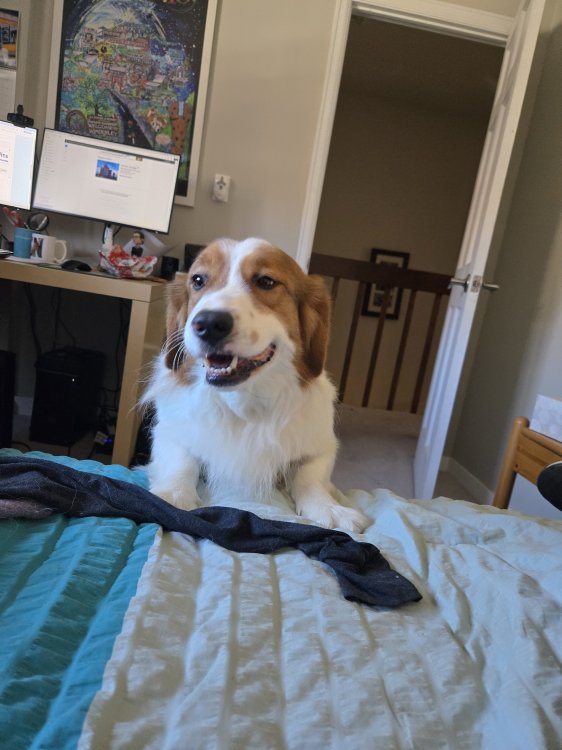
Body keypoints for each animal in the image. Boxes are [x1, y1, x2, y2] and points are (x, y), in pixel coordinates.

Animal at [143, 237, 368, 533]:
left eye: (266, 281)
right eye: (198, 280)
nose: (208, 323)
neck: (244, 402)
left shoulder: (321, 447)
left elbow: (310, 478)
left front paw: (328, 508)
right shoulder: (169, 433)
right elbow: (182, 461)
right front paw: (172, 495)